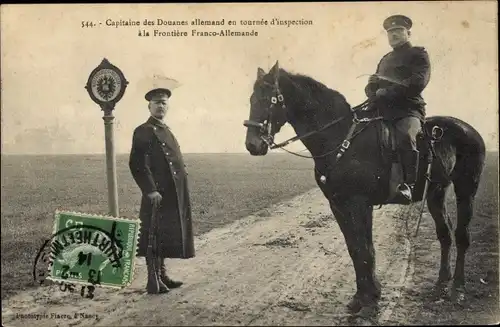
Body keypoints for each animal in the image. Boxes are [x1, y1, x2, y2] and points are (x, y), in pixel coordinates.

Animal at [244, 60, 486, 316]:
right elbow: (355, 249)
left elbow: (366, 250)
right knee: (445, 234)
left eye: (269, 99)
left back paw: (457, 288)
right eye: (251, 99)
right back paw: (441, 282)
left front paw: (369, 299)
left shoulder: (360, 203)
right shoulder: (338, 205)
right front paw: (363, 295)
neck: (340, 138)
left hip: (466, 189)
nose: (252, 145)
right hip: (436, 193)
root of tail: (470, 130)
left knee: (461, 236)